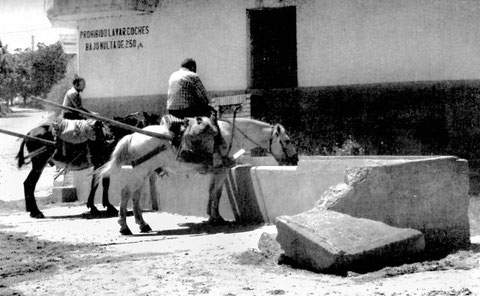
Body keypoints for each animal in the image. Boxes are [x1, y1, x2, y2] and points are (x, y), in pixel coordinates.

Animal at [99, 117, 298, 235]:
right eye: (287, 141)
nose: (295, 159)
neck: (230, 134)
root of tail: (133, 136)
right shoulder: (221, 170)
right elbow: (217, 192)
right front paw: (217, 217)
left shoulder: (215, 171)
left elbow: (211, 192)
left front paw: (211, 215)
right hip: (139, 172)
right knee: (126, 193)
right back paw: (124, 226)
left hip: (144, 172)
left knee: (135, 195)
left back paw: (143, 224)